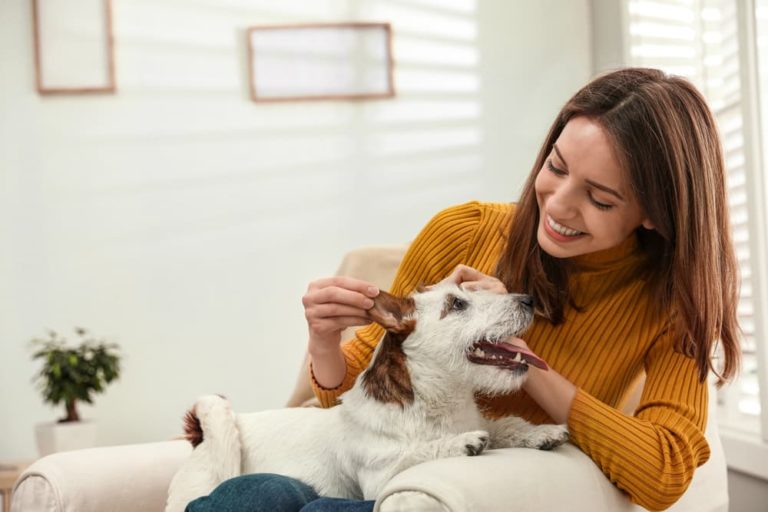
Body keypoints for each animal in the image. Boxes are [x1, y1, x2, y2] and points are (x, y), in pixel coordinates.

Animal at [164, 282, 568, 510]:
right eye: (457, 304)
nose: (529, 300)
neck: (435, 403)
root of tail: (199, 437)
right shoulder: (379, 478)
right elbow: (417, 451)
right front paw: (460, 443)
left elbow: (505, 426)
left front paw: (540, 432)